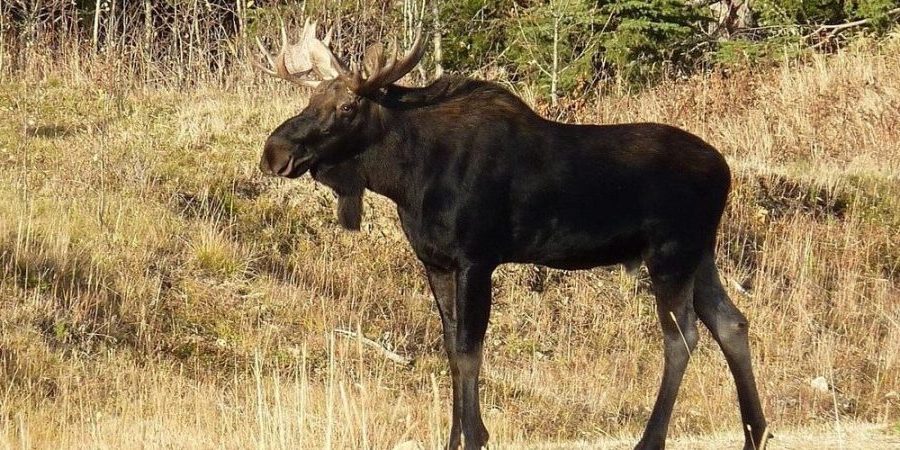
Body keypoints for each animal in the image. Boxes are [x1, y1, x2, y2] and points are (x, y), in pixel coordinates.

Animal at [253, 21, 769, 450]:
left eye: (346, 107)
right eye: (309, 102)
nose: (273, 152)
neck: (407, 177)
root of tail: (725, 171)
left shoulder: (477, 258)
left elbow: (469, 349)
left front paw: (474, 436)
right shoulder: (435, 261)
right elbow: (450, 346)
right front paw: (456, 437)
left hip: (670, 254)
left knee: (682, 336)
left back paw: (652, 439)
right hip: (701, 254)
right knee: (731, 322)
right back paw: (755, 431)